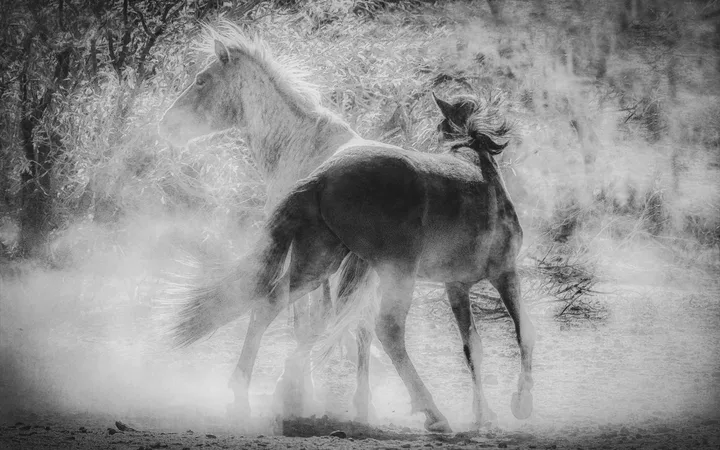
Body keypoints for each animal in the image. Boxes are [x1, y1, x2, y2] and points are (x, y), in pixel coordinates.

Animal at [159, 21, 386, 422]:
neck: (301, 142)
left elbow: (302, 321)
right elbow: (324, 322)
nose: (166, 125)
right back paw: (363, 404)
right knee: (362, 323)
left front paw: (299, 392)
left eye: (202, 80)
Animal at [164, 84, 536, 431]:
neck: (478, 170)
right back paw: (433, 414)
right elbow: (524, 333)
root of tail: (322, 176)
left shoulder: (455, 286)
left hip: (319, 263)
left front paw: (484, 415)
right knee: (388, 330)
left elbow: (473, 346)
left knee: (269, 304)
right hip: (395, 272)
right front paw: (520, 404)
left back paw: (243, 397)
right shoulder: (505, 272)